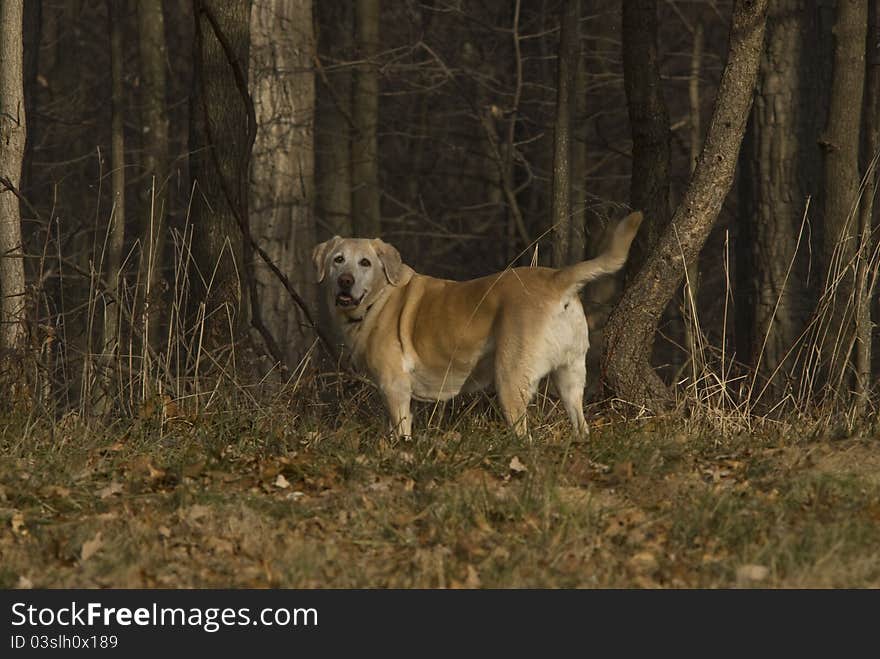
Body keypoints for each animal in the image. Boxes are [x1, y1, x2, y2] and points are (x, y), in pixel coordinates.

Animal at [312, 213, 644, 438]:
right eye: (338, 260)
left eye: (365, 263)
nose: (345, 282)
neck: (380, 298)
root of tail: (556, 278)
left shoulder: (395, 387)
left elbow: (400, 431)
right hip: (571, 376)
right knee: (580, 423)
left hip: (511, 379)